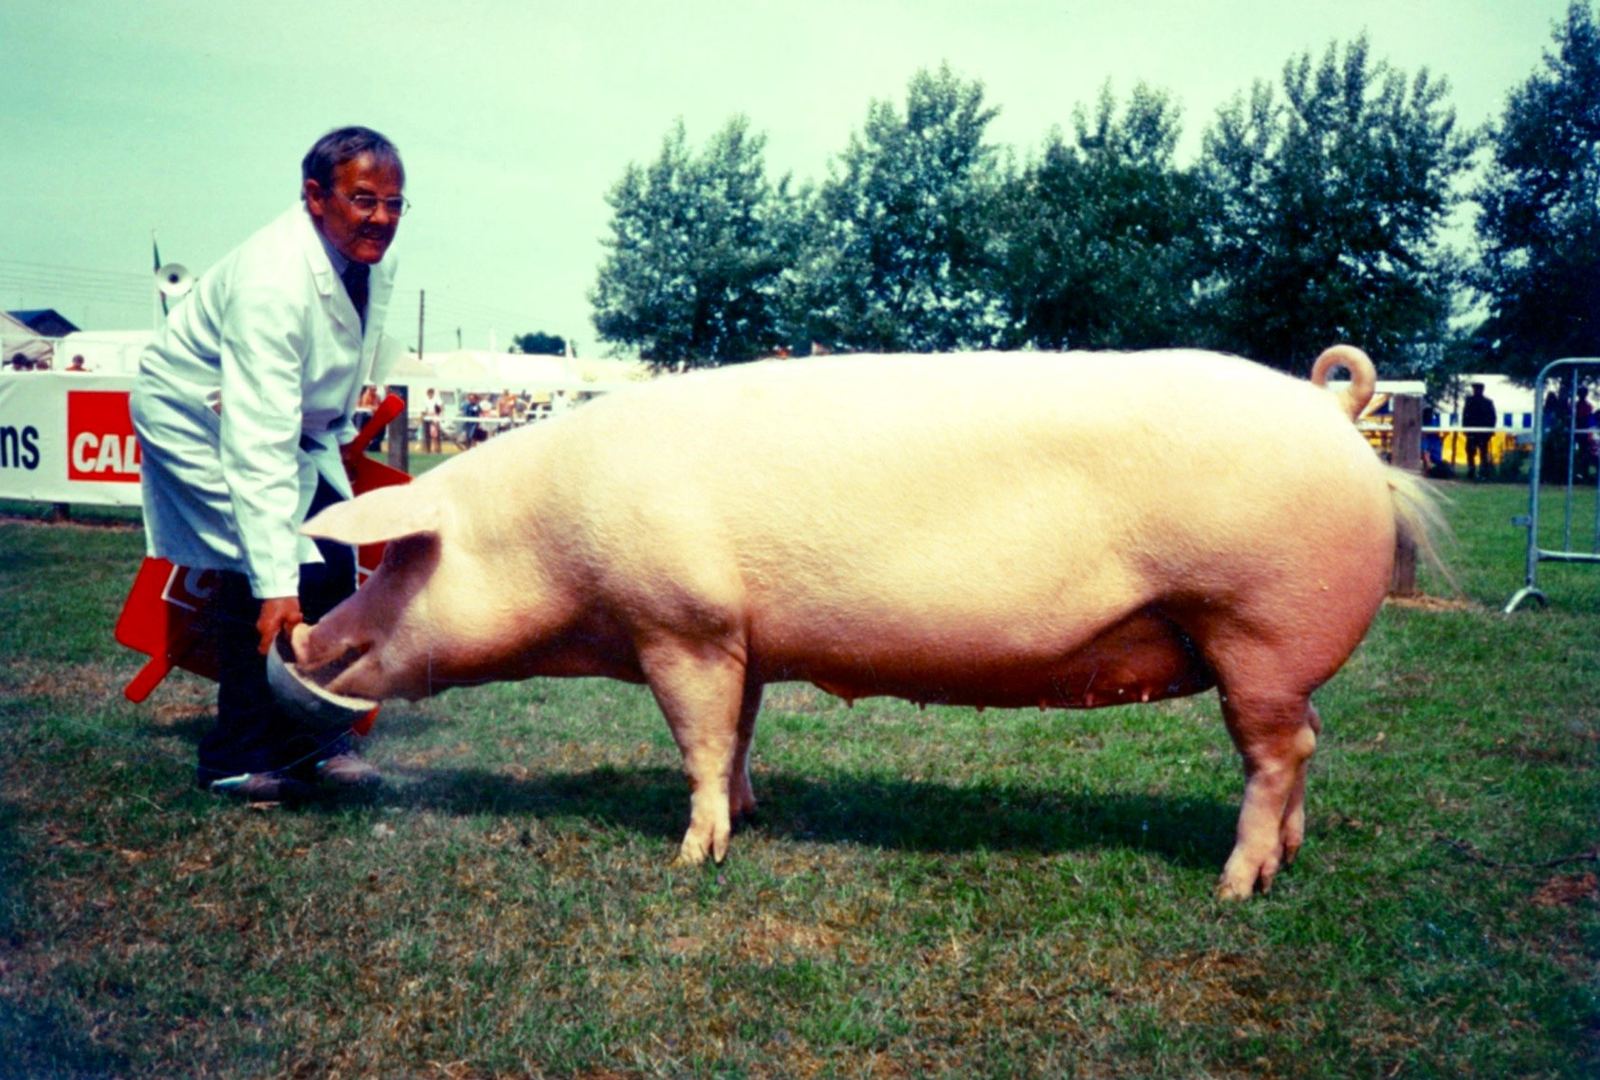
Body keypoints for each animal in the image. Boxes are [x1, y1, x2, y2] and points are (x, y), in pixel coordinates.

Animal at [292, 346, 1439, 899]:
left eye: (401, 554)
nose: (299, 640)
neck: (551, 534)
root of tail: (1333, 411)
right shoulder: (741, 637)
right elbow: (740, 731)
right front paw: (751, 814)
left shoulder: (681, 621)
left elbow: (697, 740)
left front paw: (692, 858)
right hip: (1271, 658)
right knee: (1304, 743)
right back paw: (1284, 863)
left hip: (1255, 626)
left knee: (1276, 753)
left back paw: (1234, 888)